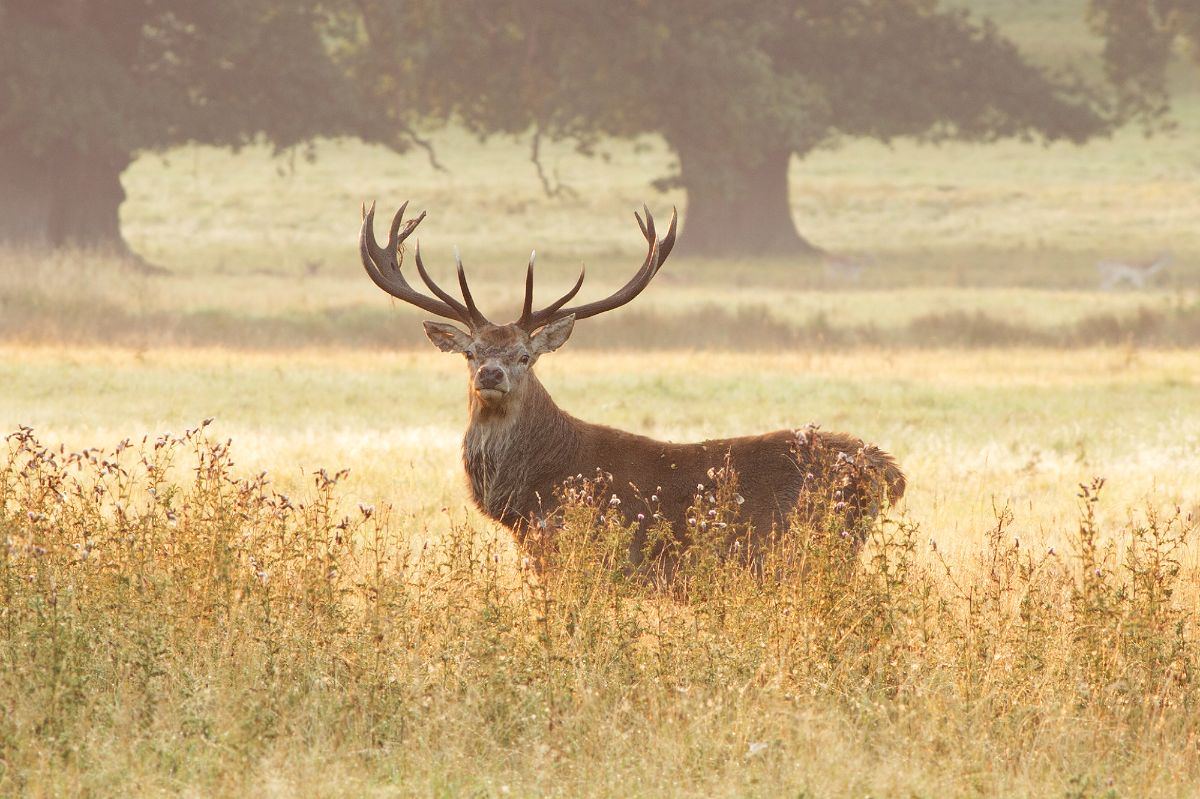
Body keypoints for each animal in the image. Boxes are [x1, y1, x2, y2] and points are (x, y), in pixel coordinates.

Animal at [360, 202, 902, 563]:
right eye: (470, 352)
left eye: (525, 356)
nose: (490, 374)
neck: (528, 491)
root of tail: (885, 470)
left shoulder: (574, 549)